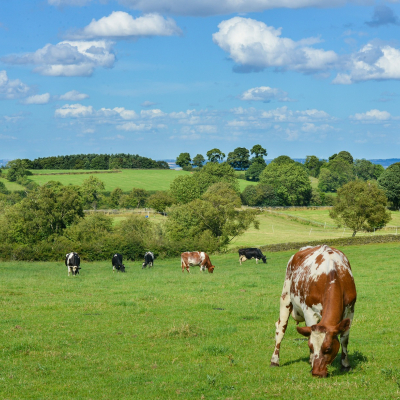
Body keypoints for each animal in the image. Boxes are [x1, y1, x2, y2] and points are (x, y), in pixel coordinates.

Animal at [270, 244, 358, 378]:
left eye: (328, 348)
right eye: (310, 347)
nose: (317, 373)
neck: (333, 273)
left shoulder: (350, 310)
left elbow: (344, 339)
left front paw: (345, 365)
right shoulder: (309, 311)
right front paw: (312, 361)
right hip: (285, 296)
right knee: (280, 329)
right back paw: (274, 360)